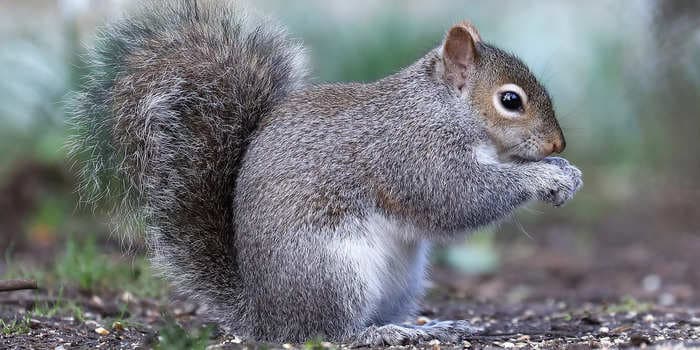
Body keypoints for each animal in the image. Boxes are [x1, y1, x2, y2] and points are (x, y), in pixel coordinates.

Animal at [68, 0, 584, 346]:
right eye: (510, 100)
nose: (557, 144)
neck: (442, 109)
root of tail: (266, 315)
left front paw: (563, 170)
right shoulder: (412, 154)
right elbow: (458, 197)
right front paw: (545, 177)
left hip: (402, 279)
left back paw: (422, 326)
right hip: (332, 271)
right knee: (330, 332)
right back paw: (380, 335)